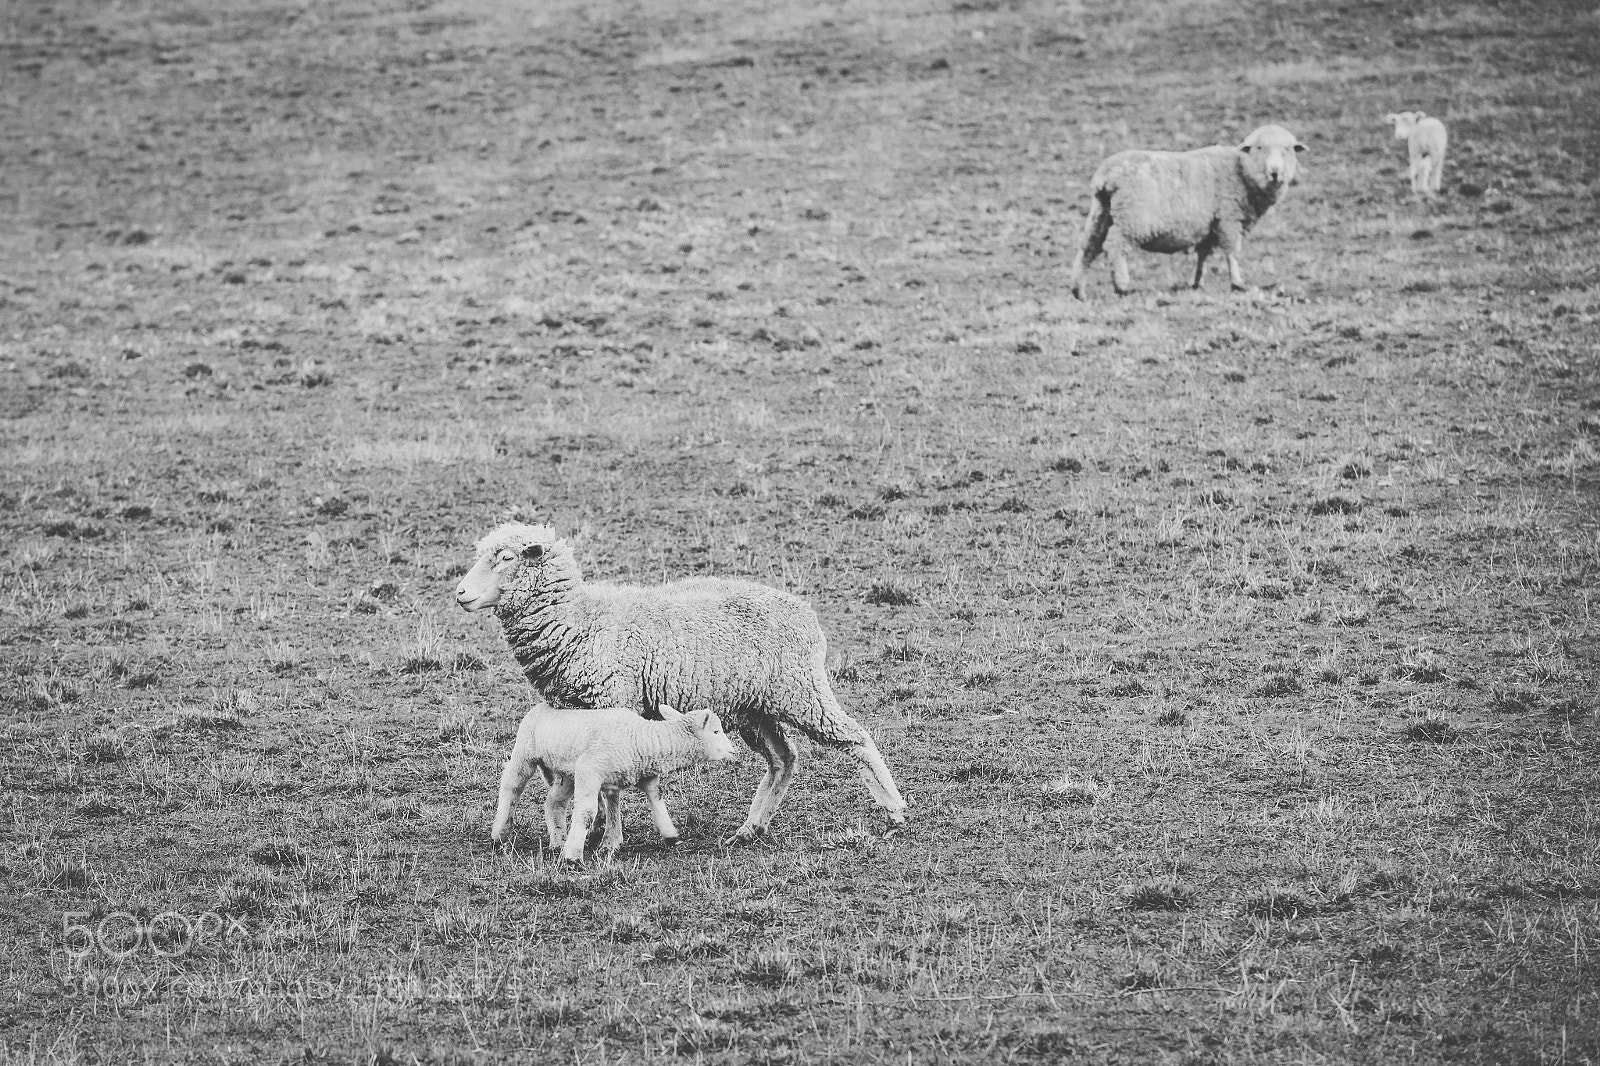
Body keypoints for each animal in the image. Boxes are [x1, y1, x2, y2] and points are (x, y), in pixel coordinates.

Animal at [456, 522, 909, 842]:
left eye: (506, 557)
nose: (460, 593)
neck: (581, 620)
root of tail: (805, 612)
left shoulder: (612, 700)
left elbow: (604, 785)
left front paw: (603, 831)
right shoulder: (574, 713)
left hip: (800, 691)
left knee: (856, 738)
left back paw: (894, 810)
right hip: (755, 707)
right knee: (784, 759)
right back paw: (751, 827)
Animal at [491, 703, 738, 863]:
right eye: (716, 731)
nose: (734, 750)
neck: (641, 737)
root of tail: (539, 706)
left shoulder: (644, 775)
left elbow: (656, 799)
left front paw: (670, 835)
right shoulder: (590, 768)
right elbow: (587, 813)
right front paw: (573, 857)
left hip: (566, 771)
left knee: (554, 803)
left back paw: (559, 841)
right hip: (526, 752)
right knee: (512, 784)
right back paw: (500, 833)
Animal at [1068, 124, 1307, 299]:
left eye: (1288, 149)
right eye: (1259, 148)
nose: (1275, 173)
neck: (1241, 170)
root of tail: (1106, 176)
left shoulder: (1209, 226)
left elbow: (1203, 255)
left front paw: (1197, 282)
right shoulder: (1228, 218)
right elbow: (1231, 252)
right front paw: (1238, 283)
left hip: (1102, 212)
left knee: (1089, 246)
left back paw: (1079, 290)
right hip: (1132, 219)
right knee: (1115, 247)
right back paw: (1122, 286)